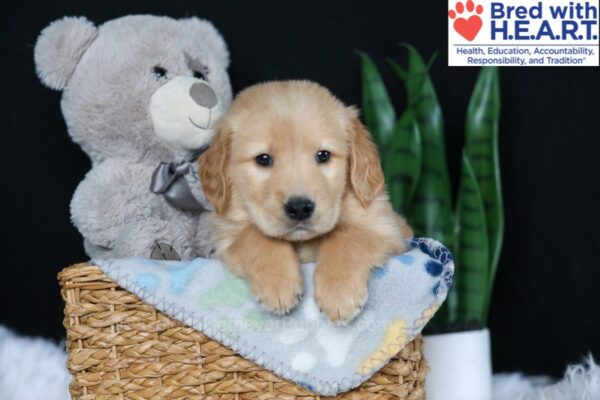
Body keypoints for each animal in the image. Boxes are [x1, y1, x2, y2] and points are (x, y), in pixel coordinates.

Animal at [197, 81, 412, 324]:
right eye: (263, 159)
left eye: (323, 155)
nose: (299, 208)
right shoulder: (226, 237)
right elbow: (253, 236)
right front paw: (278, 284)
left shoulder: (387, 229)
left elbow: (348, 236)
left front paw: (339, 294)